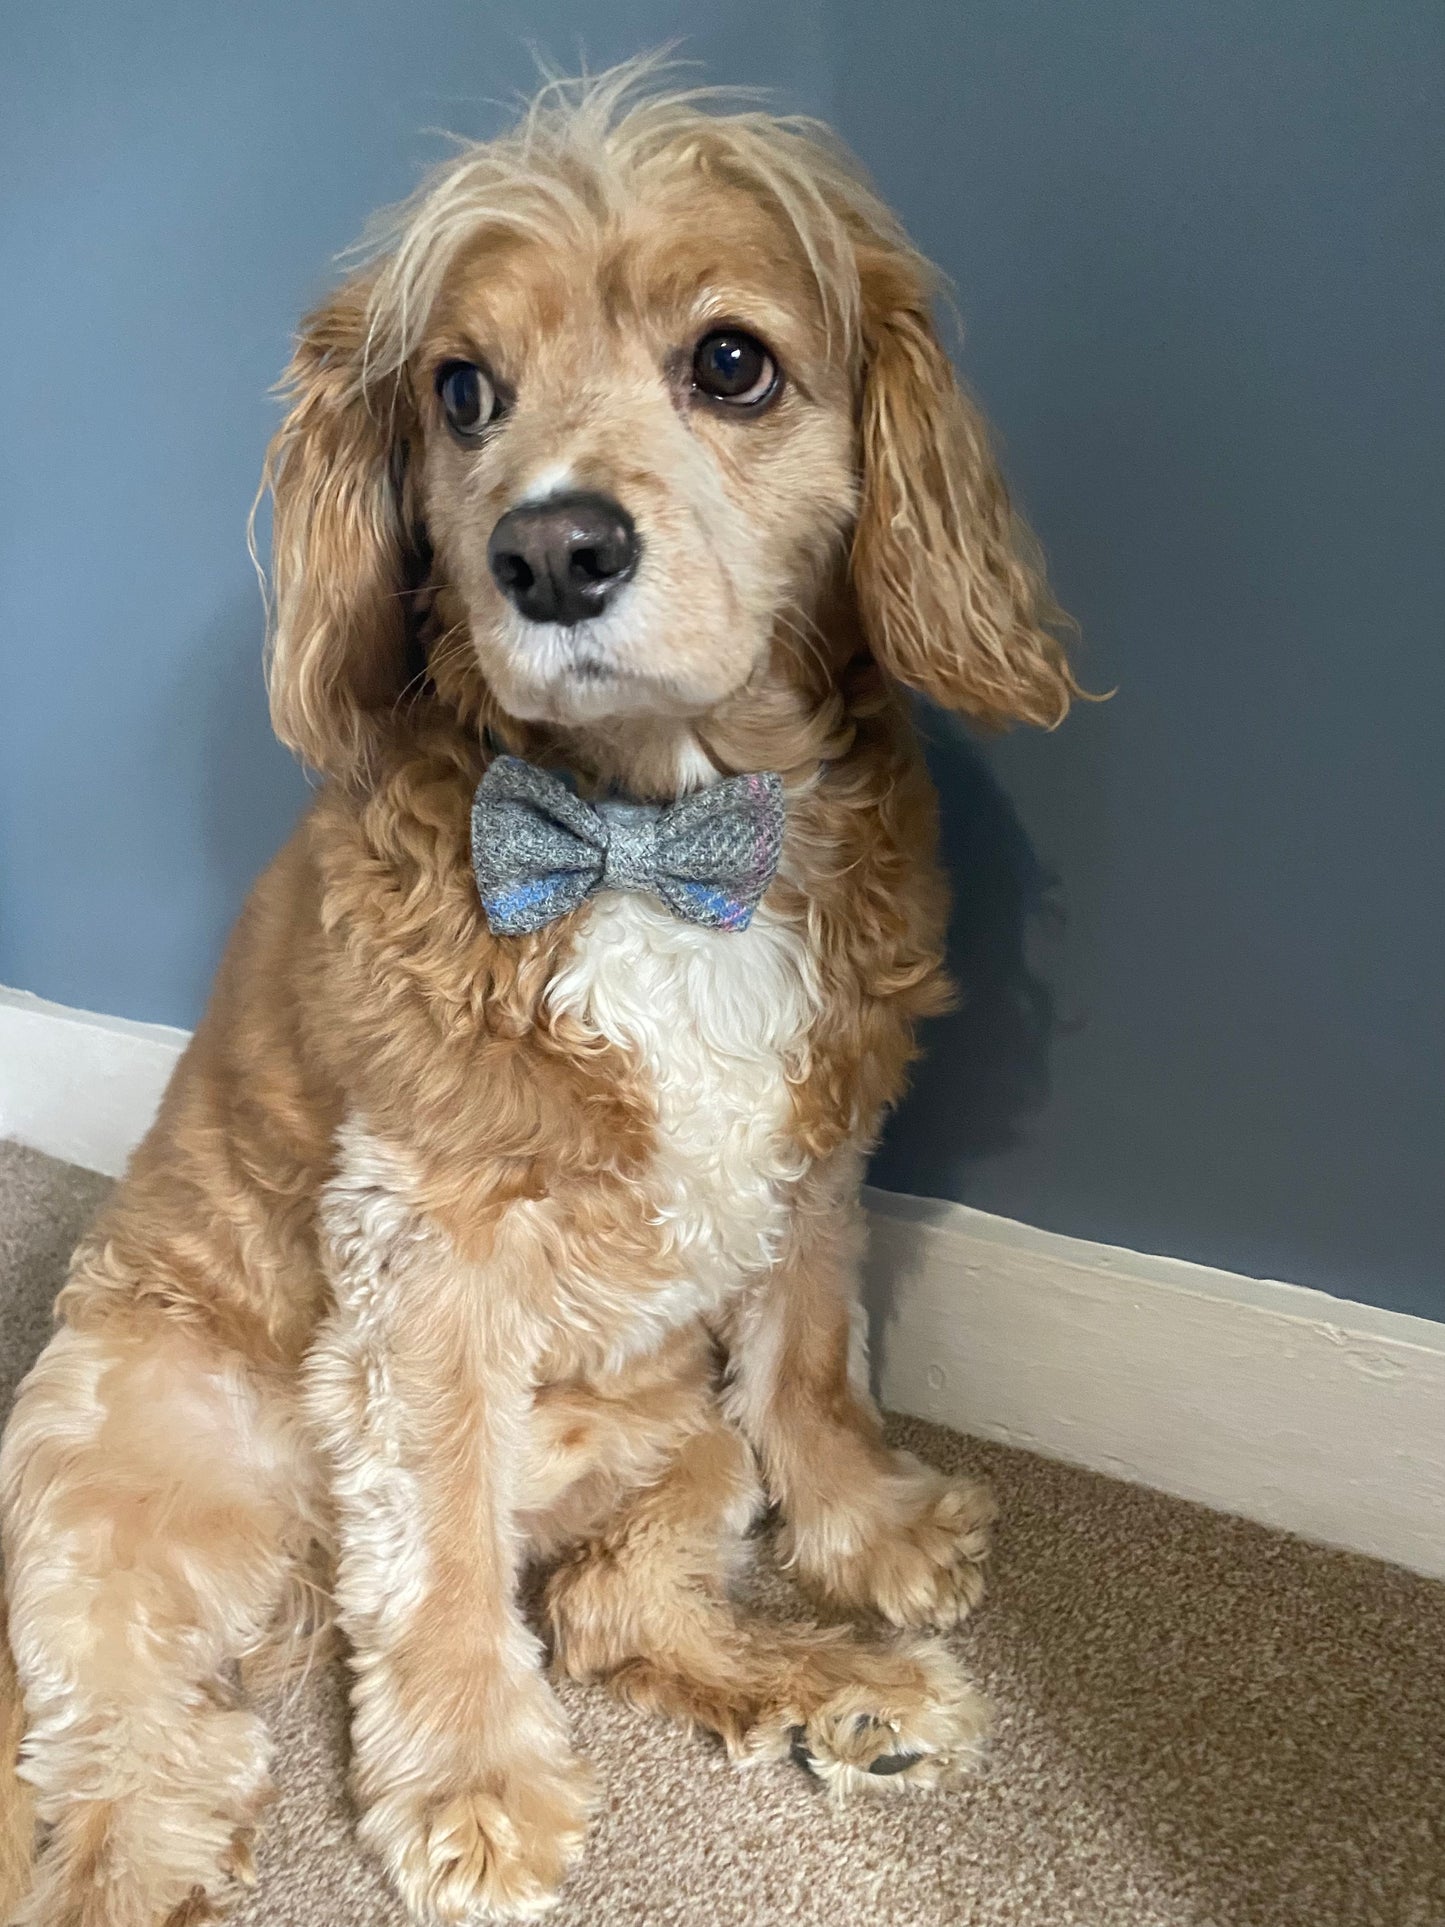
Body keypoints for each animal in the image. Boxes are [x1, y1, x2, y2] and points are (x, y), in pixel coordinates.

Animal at [0, 64, 1078, 1927]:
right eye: (460, 391)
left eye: (734, 362)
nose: (554, 550)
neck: (646, 832)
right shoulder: (422, 1251)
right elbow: (433, 1546)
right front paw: (473, 1785)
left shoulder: (815, 1144)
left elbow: (810, 1360)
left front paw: (867, 1534)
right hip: (135, 1487)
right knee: (127, 1759)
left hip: (668, 1439)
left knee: (603, 1603)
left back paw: (845, 1694)